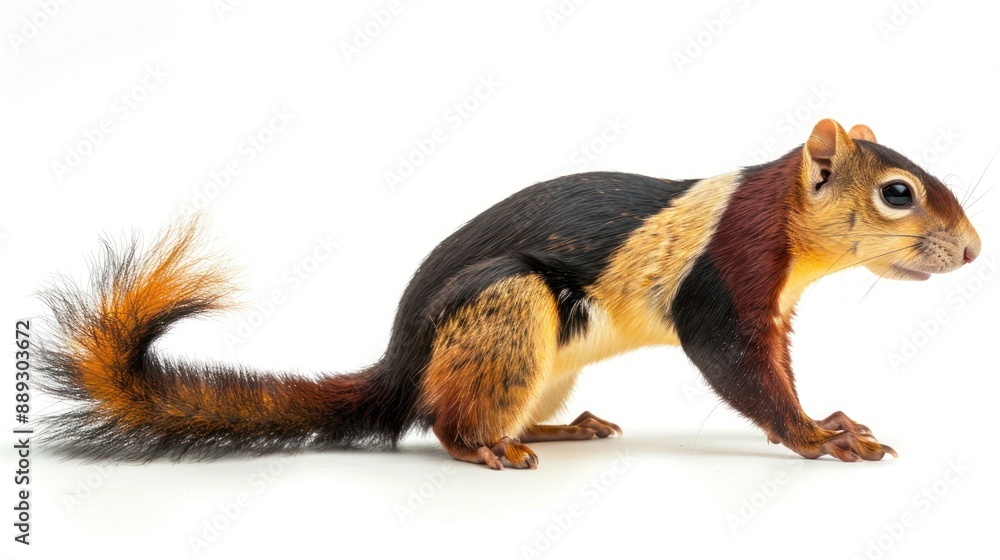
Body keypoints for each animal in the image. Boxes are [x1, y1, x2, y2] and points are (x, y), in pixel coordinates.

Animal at [37, 118, 981, 469]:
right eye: (898, 192)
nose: (974, 249)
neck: (774, 217)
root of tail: (400, 364)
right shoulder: (723, 287)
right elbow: (743, 374)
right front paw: (819, 436)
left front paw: (832, 421)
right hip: (511, 310)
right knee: (448, 421)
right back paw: (488, 449)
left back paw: (559, 429)